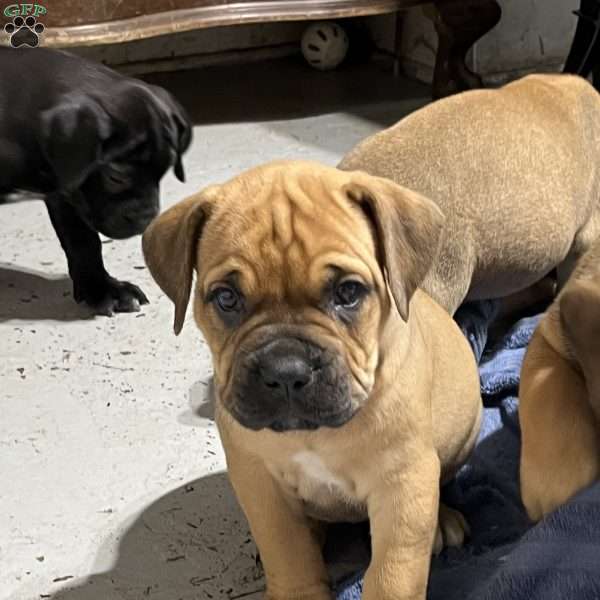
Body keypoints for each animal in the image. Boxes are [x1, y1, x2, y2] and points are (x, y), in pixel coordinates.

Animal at [0, 47, 191, 316]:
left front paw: (103, 289)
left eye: (164, 170)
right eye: (116, 177)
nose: (146, 217)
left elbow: (84, 242)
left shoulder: (66, 192)